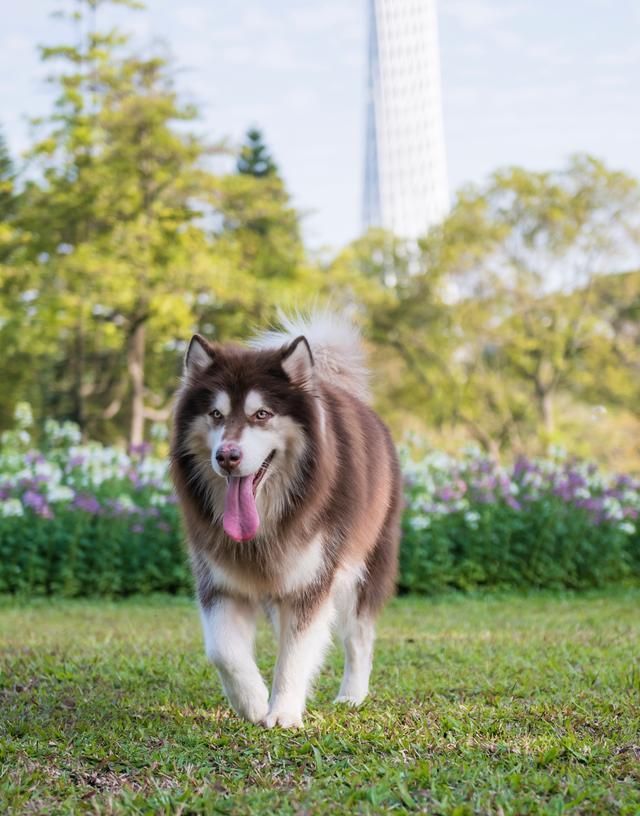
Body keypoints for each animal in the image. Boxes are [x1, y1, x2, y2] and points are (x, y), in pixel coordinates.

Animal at [170, 312, 400, 728]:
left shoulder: (311, 580)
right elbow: (223, 652)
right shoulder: (220, 579)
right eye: (216, 414)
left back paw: (352, 695)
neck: (268, 522)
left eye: (262, 414)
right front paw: (253, 702)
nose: (227, 456)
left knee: (358, 637)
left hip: (364, 567)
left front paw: (282, 712)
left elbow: (297, 651)